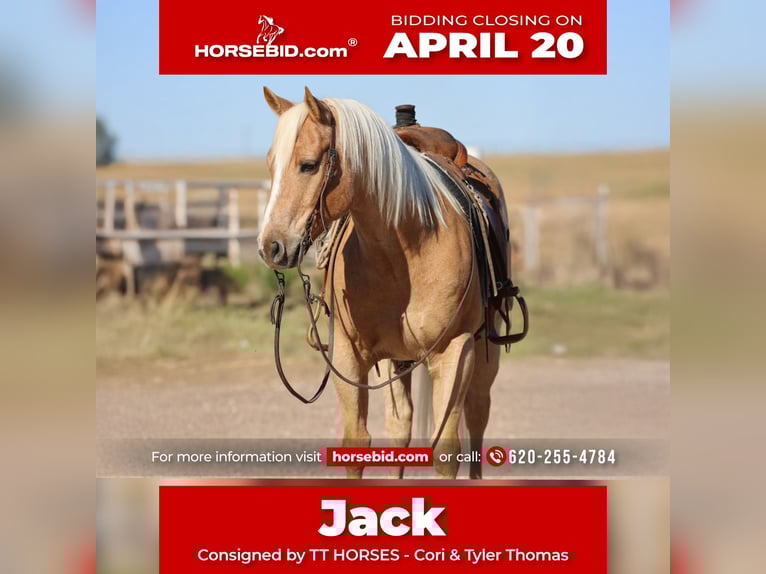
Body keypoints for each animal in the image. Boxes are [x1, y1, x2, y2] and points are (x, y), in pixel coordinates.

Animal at [258, 86, 507, 479]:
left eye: (309, 164)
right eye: (271, 164)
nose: (271, 246)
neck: (404, 249)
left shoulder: (455, 351)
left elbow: (447, 449)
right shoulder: (347, 353)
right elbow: (357, 442)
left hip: (486, 345)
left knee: (478, 412)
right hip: (398, 359)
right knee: (400, 425)